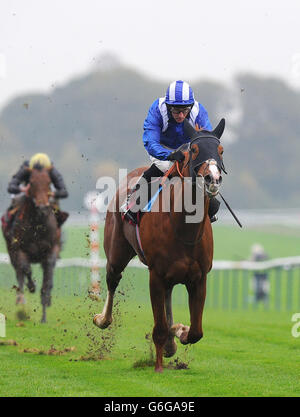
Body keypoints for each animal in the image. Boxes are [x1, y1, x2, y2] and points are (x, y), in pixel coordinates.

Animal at [1, 166, 61, 322]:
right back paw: (21, 299)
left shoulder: (51, 250)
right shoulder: (19, 250)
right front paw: (32, 287)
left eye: (49, 182)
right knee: (20, 274)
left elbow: (47, 281)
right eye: (32, 183)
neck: (37, 225)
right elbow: (26, 269)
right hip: (12, 252)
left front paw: (44, 316)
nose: (42, 209)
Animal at [94, 119, 225, 370]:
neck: (184, 229)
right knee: (112, 279)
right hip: (116, 253)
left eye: (220, 150)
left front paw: (179, 332)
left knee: (168, 295)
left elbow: (196, 332)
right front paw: (158, 366)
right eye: (195, 150)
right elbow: (159, 328)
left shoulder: (199, 277)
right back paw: (102, 319)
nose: (212, 179)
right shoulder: (155, 275)